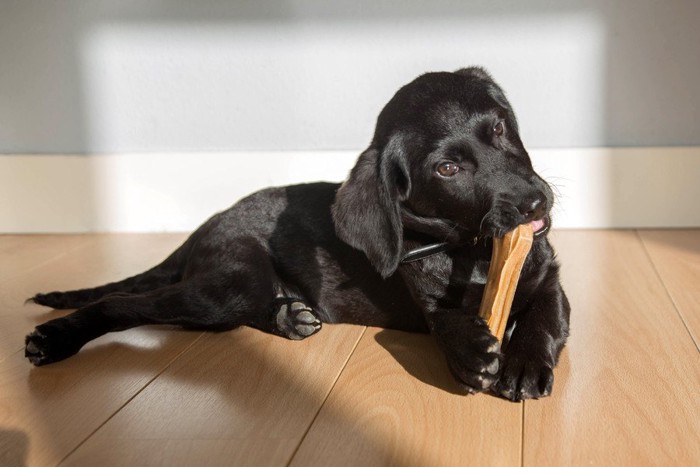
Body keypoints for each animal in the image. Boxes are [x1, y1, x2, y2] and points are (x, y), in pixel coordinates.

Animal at [23, 66, 568, 402]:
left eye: (500, 129)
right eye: (448, 169)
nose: (534, 203)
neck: (471, 248)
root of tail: (208, 224)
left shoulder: (549, 281)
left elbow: (544, 318)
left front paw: (523, 364)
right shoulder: (429, 301)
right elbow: (446, 320)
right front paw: (473, 350)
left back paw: (289, 316)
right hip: (232, 283)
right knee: (127, 305)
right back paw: (55, 339)